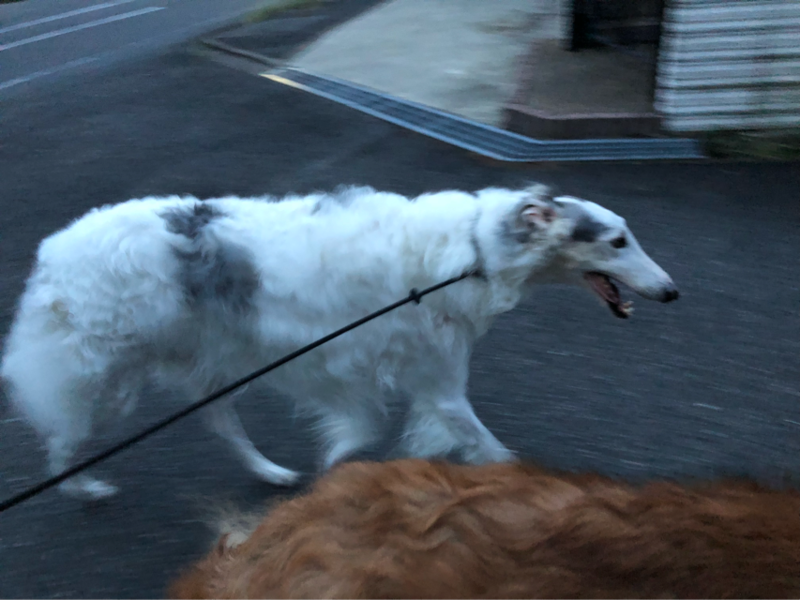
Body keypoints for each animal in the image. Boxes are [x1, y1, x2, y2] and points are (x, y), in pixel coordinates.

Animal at [0, 184, 678, 500]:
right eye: (617, 241)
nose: (672, 292)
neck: (476, 249)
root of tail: (53, 250)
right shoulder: (440, 386)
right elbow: (492, 450)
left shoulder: (393, 377)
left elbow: (364, 427)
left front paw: (337, 462)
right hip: (101, 376)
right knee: (62, 438)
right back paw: (82, 487)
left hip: (207, 364)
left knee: (220, 421)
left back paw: (272, 472)